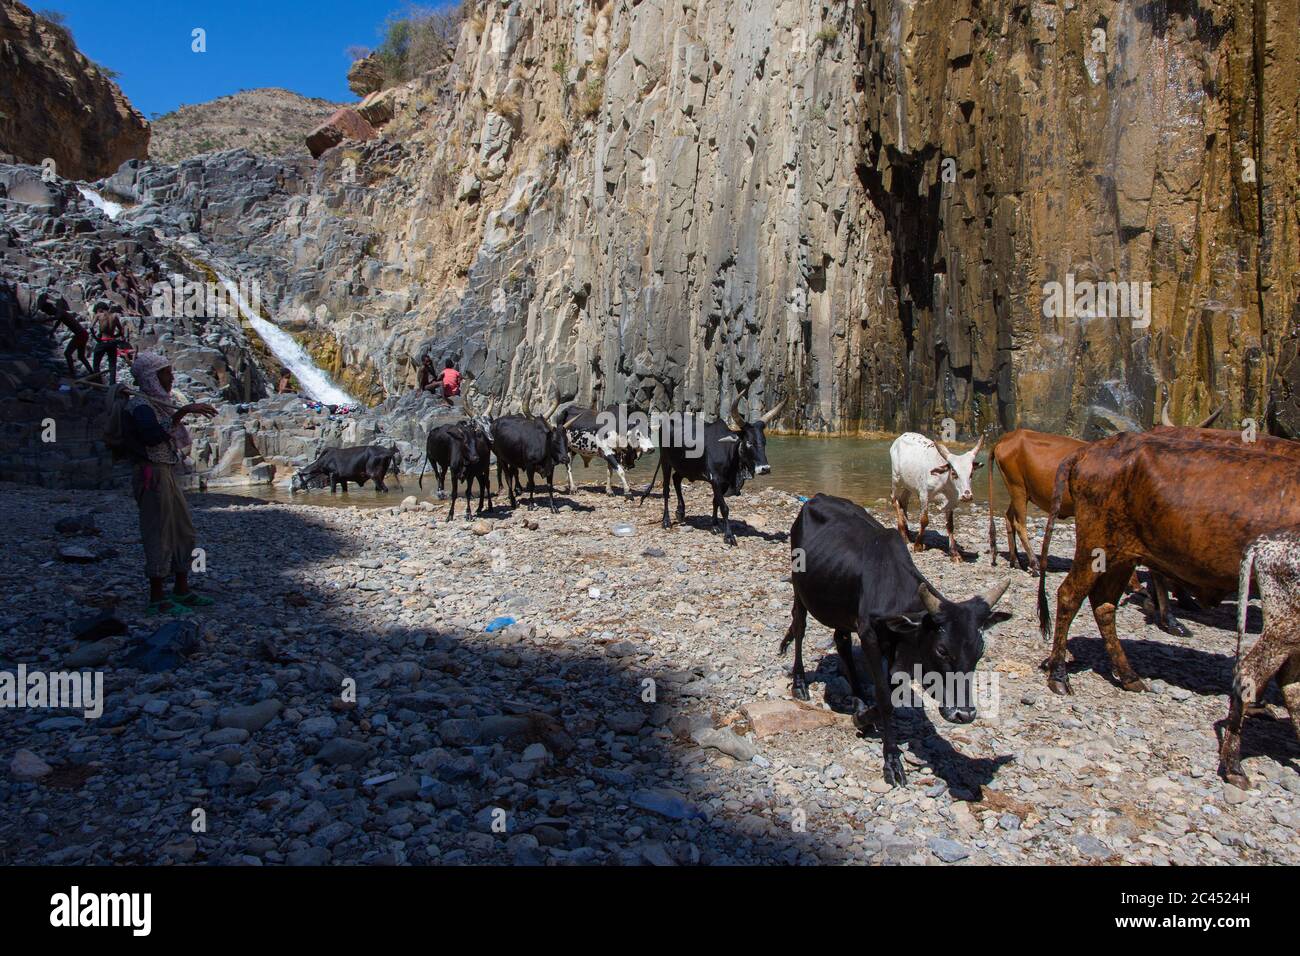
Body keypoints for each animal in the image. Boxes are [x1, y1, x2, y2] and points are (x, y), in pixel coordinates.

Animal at [639, 398, 780, 546]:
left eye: (764, 442)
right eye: (749, 442)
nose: (765, 468)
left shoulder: (723, 483)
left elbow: (715, 502)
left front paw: (715, 526)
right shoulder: (715, 480)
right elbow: (724, 508)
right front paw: (729, 536)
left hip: (685, 467)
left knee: (676, 479)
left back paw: (680, 511)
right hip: (666, 461)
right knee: (666, 489)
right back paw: (666, 521)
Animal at [774, 494, 1008, 785]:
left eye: (979, 651)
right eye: (942, 650)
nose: (964, 714)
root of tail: (815, 498)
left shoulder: (896, 648)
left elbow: (892, 694)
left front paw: (864, 715)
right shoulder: (870, 636)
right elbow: (886, 700)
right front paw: (891, 761)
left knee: (841, 641)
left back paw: (858, 698)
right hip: (800, 589)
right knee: (800, 626)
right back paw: (800, 683)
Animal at [1040, 434, 1300, 697]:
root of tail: (1088, 450)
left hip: (1122, 556)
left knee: (1104, 604)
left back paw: (1129, 675)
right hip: (1096, 543)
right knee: (1070, 595)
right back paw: (1059, 675)